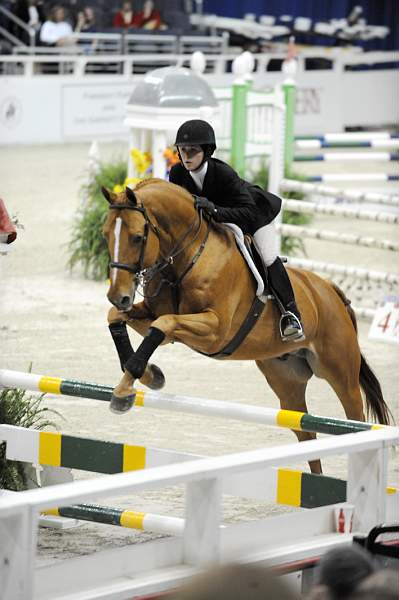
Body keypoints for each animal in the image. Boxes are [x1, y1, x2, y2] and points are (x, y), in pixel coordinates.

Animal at [101, 178, 392, 474]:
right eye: (105, 235)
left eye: (137, 237)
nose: (118, 295)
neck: (189, 256)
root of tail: (330, 289)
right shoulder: (155, 316)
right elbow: (118, 318)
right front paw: (147, 377)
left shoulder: (215, 331)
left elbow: (164, 324)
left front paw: (127, 389)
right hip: (286, 379)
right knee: (305, 432)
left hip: (340, 374)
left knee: (355, 419)